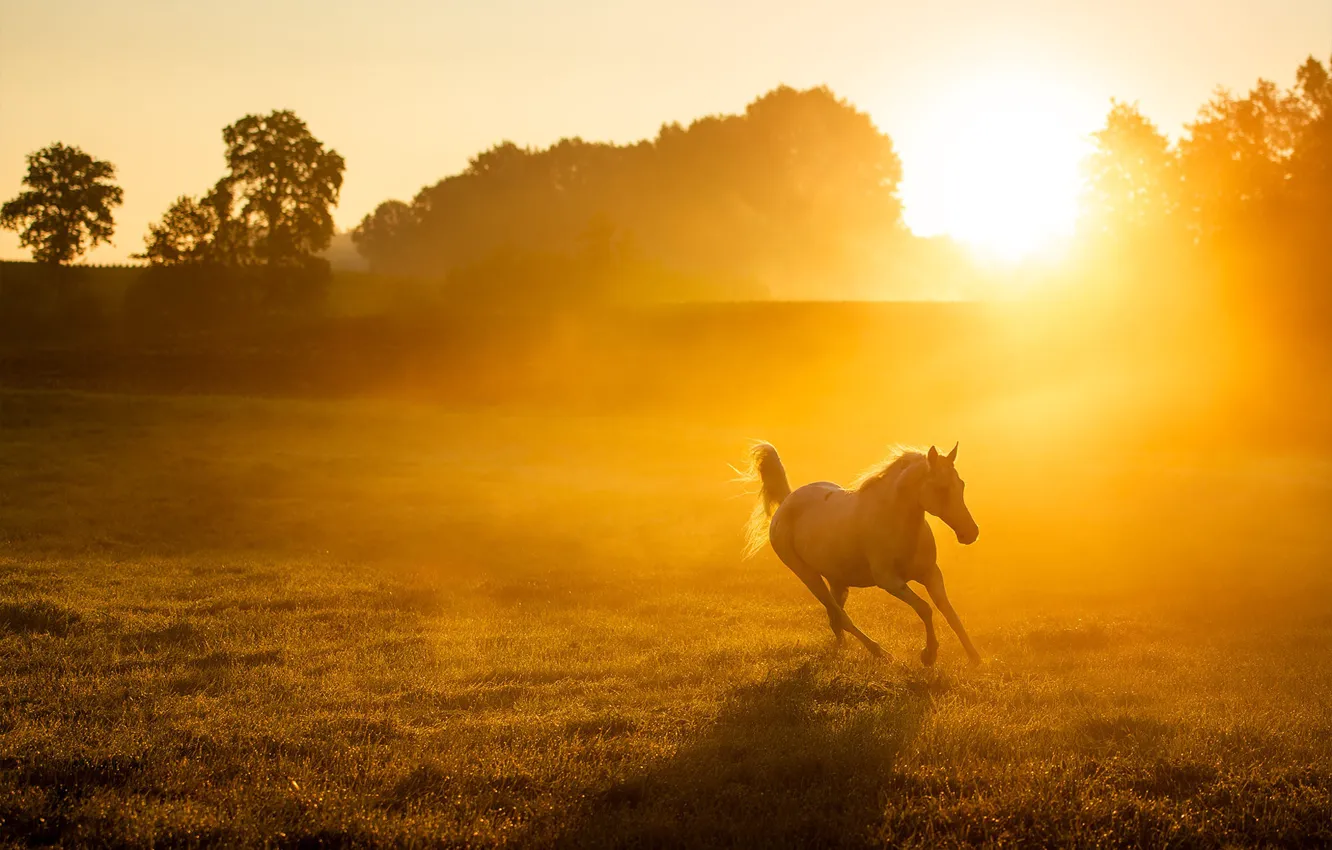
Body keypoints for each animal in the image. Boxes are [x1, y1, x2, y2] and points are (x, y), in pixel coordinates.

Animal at [739, 442, 982, 666]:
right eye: (941, 488)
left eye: (961, 484)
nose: (971, 533)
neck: (895, 521)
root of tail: (787, 502)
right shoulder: (889, 581)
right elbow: (925, 608)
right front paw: (929, 655)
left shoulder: (931, 574)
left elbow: (949, 611)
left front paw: (974, 657)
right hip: (808, 575)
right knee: (840, 616)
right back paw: (880, 652)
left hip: (837, 580)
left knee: (835, 619)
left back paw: (843, 648)